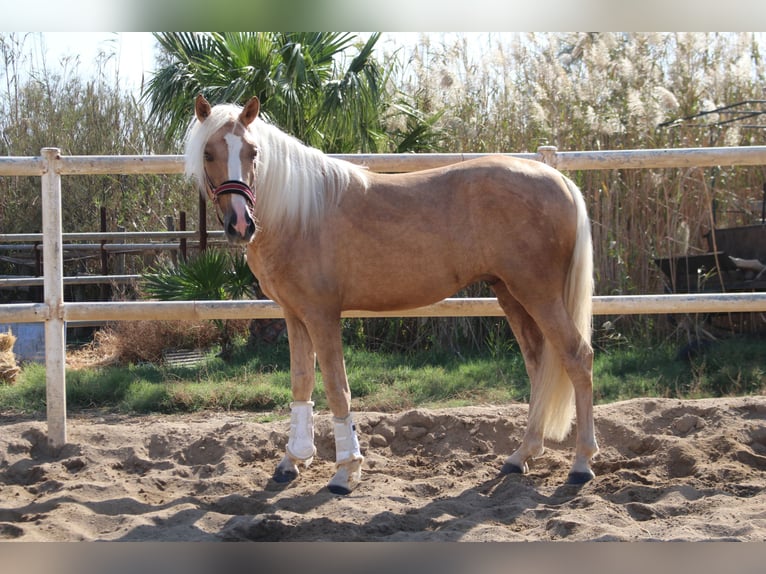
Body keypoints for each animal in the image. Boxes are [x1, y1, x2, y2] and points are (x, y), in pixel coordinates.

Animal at [186, 94, 600, 496]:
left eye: (253, 152)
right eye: (209, 153)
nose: (241, 224)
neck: (299, 213)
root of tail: (560, 180)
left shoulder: (322, 314)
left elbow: (337, 388)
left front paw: (346, 471)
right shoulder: (293, 313)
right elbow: (301, 382)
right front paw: (293, 461)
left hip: (539, 294)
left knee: (577, 357)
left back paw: (581, 464)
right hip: (511, 294)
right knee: (539, 365)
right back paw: (521, 455)